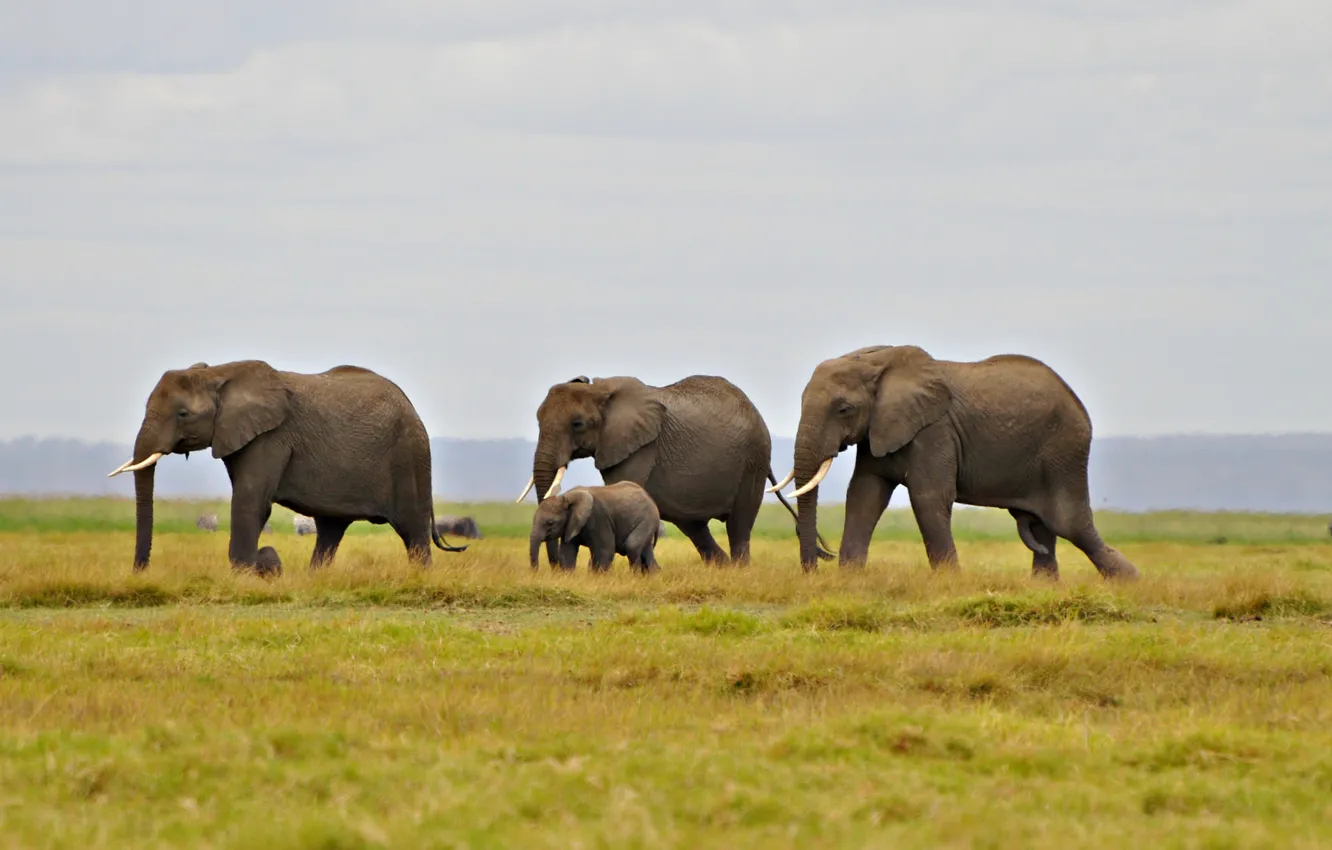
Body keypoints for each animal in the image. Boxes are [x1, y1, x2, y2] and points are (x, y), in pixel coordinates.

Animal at [107, 360, 468, 574]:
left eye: (183, 414)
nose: (140, 571)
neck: (218, 373)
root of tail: (412, 407)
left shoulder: (271, 438)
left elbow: (251, 502)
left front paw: (246, 573)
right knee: (330, 529)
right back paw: (315, 579)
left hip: (408, 455)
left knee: (412, 529)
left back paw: (419, 579)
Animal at [529, 482, 660, 573]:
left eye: (550, 523)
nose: (536, 573)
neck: (565, 497)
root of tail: (650, 498)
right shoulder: (572, 524)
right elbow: (567, 553)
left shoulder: (598, 518)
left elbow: (604, 551)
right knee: (646, 552)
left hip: (648, 519)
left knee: (632, 545)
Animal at [772, 345, 1140, 581]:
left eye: (844, 409)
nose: (816, 567)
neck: (876, 361)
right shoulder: (878, 430)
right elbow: (864, 494)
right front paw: (849, 578)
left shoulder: (935, 431)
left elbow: (928, 497)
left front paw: (950, 581)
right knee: (1040, 526)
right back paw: (1044, 587)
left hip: (1065, 450)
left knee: (1068, 522)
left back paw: (1129, 579)